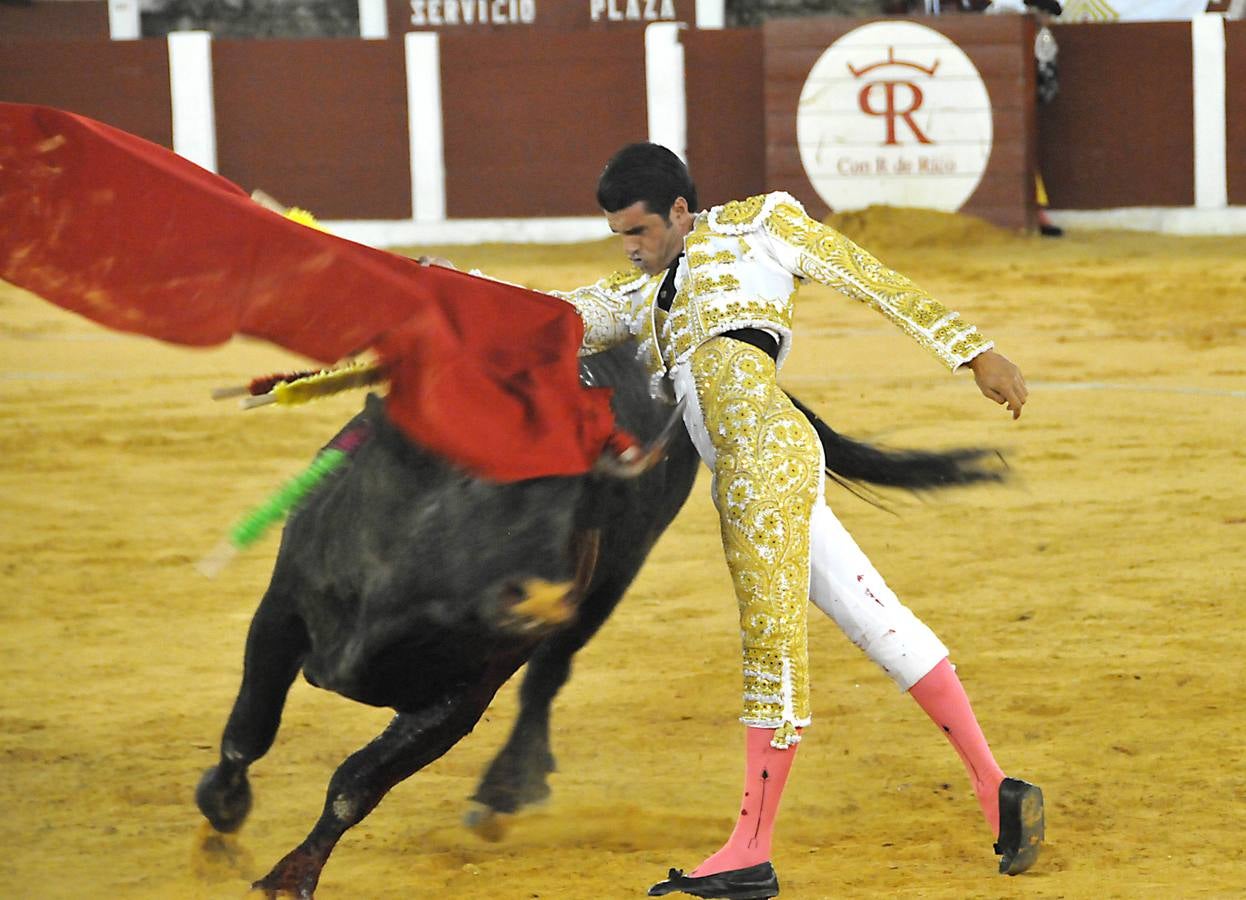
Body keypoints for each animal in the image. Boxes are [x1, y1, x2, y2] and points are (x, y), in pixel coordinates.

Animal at [191, 339, 991, 892]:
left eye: (581, 501)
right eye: (480, 483)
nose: (545, 598)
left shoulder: (461, 697)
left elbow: (356, 782)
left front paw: (287, 877)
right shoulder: (282, 609)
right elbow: (248, 730)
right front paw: (221, 814)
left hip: (612, 584)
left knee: (547, 679)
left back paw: (507, 788)